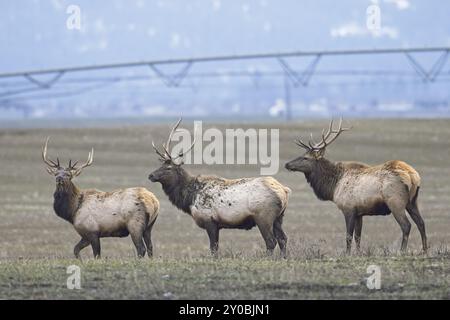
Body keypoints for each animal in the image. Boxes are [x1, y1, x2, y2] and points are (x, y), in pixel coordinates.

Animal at [148, 119, 292, 258]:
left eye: (168, 168)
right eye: (160, 165)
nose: (151, 175)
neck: (189, 199)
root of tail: (284, 191)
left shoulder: (209, 220)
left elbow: (213, 248)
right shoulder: (217, 225)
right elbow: (215, 247)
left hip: (263, 216)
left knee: (271, 241)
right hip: (279, 217)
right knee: (283, 239)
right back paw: (283, 258)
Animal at [286, 119, 428, 254]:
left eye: (305, 158)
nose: (287, 164)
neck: (333, 186)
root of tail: (412, 175)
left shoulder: (348, 209)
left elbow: (348, 236)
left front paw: (347, 253)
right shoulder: (360, 212)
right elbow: (358, 236)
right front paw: (358, 253)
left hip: (395, 202)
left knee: (406, 225)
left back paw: (402, 251)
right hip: (412, 202)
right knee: (421, 223)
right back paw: (424, 250)